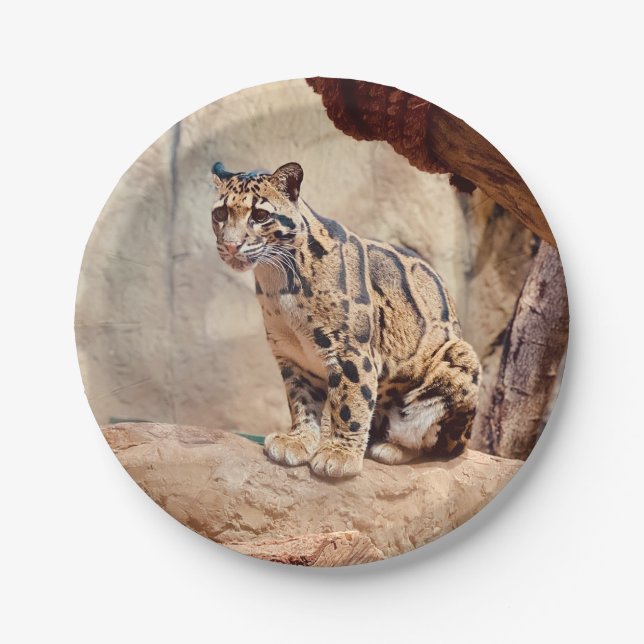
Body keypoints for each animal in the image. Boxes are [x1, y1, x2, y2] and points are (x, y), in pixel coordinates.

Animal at [210, 161, 481, 478]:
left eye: (260, 215)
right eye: (220, 214)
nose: (230, 245)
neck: (277, 281)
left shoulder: (350, 350)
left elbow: (350, 402)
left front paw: (339, 454)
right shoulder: (292, 355)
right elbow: (301, 401)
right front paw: (299, 440)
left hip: (460, 358)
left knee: (437, 444)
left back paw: (391, 448)